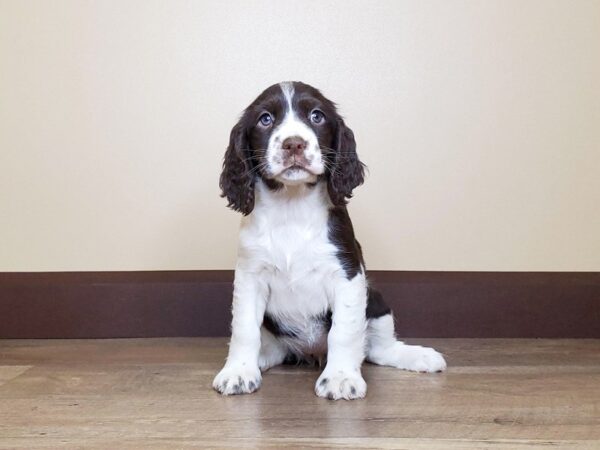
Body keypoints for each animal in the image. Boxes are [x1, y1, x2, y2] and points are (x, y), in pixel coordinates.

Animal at [212, 81, 446, 400]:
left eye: (316, 116)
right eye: (265, 119)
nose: (294, 144)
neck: (292, 207)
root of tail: (311, 353)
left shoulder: (347, 273)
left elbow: (344, 331)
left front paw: (340, 377)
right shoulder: (250, 276)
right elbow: (244, 328)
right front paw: (238, 371)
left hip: (377, 300)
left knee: (378, 348)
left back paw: (418, 356)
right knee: (273, 348)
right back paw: (259, 360)